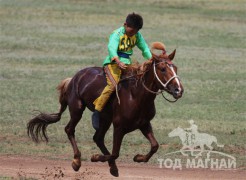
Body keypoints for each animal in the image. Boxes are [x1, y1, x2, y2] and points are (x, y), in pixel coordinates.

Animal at [27, 41, 184, 176]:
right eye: (163, 69)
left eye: (175, 68)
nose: (179, 90)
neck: (136, 95)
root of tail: (74, 78)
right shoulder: (119, 126)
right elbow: (115, 153)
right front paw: (95, 157)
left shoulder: (144, 124)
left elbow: (155, 146)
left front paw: (138, 158)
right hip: (77, 109)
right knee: (70, 129)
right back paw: (77, 161)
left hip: (105, 118)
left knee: (98, 138)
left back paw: (112, 167)